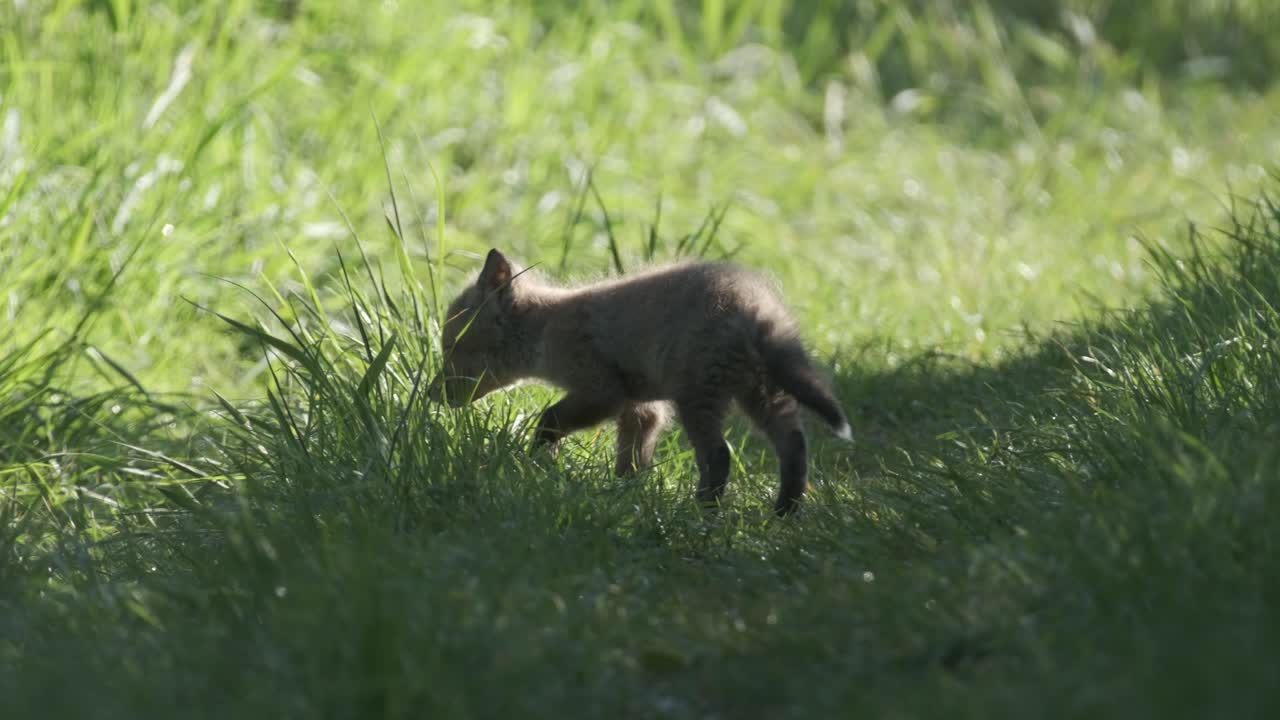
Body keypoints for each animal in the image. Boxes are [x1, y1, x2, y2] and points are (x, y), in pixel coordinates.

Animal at [426, 249, 852, 515]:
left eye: (453, 347)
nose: (431, 394)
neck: (546, 329)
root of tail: (754, 305)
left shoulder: (603, 392)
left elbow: (549, 420)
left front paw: (539, 460)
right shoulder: (643, 407)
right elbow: (632, 456)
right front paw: (625, 495)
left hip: (698, 396)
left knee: (719, 454)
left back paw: (702, 513)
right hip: (762, 393)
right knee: (793, 445)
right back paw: (785, 512)